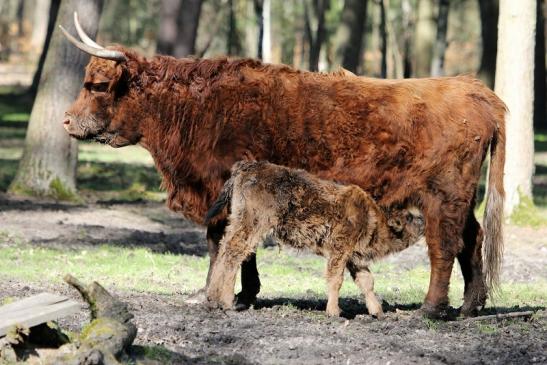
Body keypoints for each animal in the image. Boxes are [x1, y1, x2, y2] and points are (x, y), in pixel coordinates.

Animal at [206, 159, 428, 316]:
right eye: (410, 217)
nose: (424, 220)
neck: (371, 217)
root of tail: (248, 166)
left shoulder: (353, 258)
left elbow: (366, 281)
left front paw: (377, 312)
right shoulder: (340, 250)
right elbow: (336, 279)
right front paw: (334, 312)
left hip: (238, 222)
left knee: (225, 250)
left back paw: (213, 299)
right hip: (252, 225)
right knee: (234, 253)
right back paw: (227, 302)